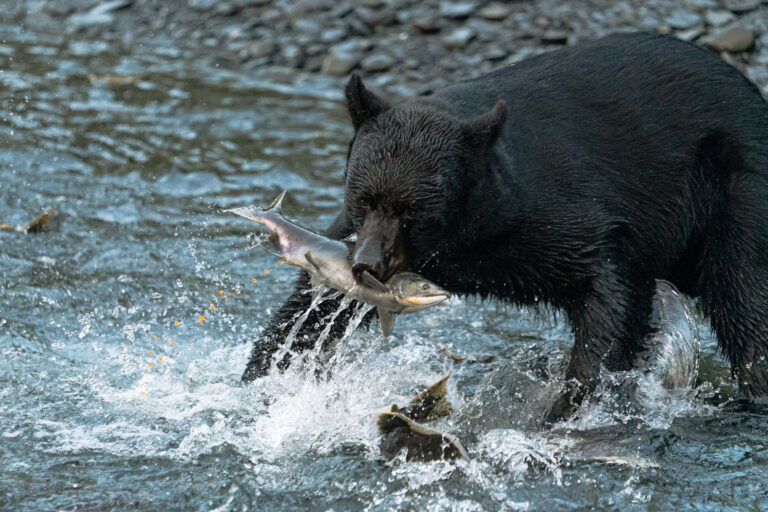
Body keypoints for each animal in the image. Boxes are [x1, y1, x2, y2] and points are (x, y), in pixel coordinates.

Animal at [244, 33, 768, 424]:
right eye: (364, 198)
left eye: (413, 211)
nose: (366, 265)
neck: (465, 236)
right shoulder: (353, 236)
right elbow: (310, 307)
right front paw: (264, 376)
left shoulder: (559, 209)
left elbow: (609, 287)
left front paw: (569, 405)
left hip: (736, 191)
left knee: (745, 297)